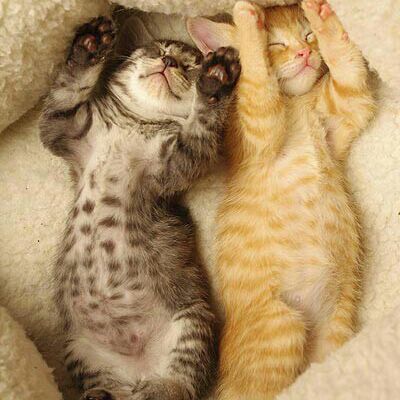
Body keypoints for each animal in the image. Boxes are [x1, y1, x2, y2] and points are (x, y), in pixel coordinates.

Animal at [40, 16, 240, 400]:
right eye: (159, 50)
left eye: (191, 66)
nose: (169, 62)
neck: (133, 126)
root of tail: (138, 372)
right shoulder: (66, 129)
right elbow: (67, 90)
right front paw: (90, 45)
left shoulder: (175, 165)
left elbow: (200, 128)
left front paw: (215, 82)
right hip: (83, 353)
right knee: (108, 387)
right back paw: (101, 395)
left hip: (190, 325)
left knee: (179, 386)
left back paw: (157, 389)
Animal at [187, 1, 376, 399]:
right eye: (275, 45)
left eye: (306, 36)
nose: (304, 52)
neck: (296, 106)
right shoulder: (252, 130)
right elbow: (258, 86)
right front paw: (248, 25)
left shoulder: (343, 112)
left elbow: (348, 71)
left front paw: (322, 16)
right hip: (281, 326)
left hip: (335, 332)